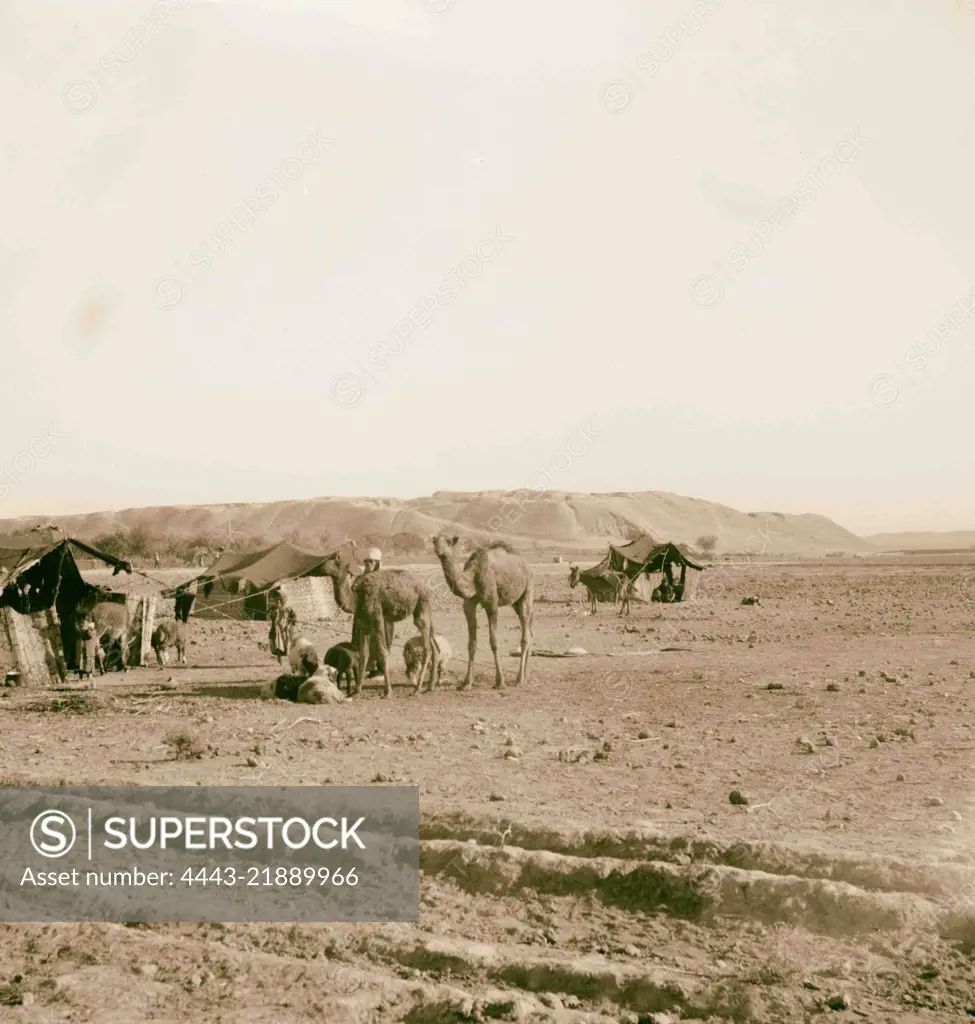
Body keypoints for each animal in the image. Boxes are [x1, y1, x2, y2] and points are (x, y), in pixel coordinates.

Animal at [319, 552, 434, 704]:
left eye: (337, 562)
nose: (322, 566)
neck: (357, 599)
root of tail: (425, 584)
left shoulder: (378, 619)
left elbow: (383, 652)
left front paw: (387, 692)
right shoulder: (364, 625)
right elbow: (363, 654)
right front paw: (357, 692)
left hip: (422, 605)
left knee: (427, 647)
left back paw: (417, 690)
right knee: (433, 643)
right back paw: (430, 686)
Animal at [430, 536, 532, 688]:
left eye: (448, 542)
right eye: (435, 541)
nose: (439, 551)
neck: (474, 577)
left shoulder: (492, 604)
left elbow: (494, 642)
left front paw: (500, 682)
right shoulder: (469, 604)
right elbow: (471, 644)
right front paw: (466, 683)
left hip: (528, 590)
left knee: (525, 633)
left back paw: (519, 679)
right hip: (515, 602)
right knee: (530, 632)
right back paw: (525, 676)